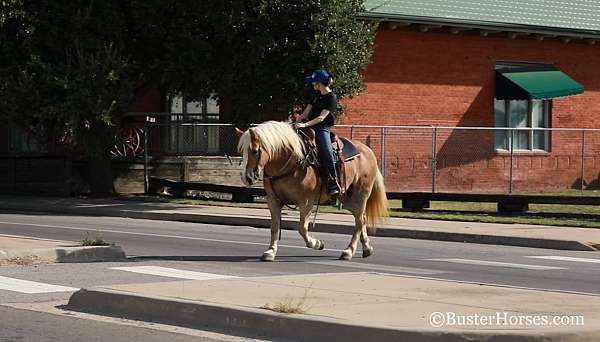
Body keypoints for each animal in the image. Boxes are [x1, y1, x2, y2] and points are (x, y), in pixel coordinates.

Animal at [234, 121, 390, 260]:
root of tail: (368, 151)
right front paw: (270, 251)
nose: (246, 177)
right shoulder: (273, 200)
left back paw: (349, 251)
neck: (291, 162)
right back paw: (367, 248)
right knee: (361, 218)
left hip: (361, 193)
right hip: (346, 197)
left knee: (359, 220)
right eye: (241, 151)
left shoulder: (306, 201)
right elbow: (274, 226)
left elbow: (302, 228)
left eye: (255, 151)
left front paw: (317, 243)